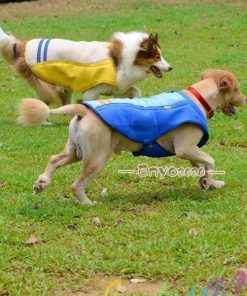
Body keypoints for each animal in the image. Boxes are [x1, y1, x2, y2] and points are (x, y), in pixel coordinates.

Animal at [0, 25, 172, 106]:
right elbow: (87, 101)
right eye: (157, 57)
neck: (122, 59)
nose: (171, 68)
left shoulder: (118, 87)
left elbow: (136, 91)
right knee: (45, 99)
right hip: (50, 84)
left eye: (161, 55)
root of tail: (24, 45)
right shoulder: (92, 90)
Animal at [18, 69, 246, 206]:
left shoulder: (191, 152)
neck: (198, 98)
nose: (245, 99)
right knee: (77, 184)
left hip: (75, 151)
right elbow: (210, 160)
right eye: (236, 88)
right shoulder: (185, 148)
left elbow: (201, 165)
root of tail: (83, 109)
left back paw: (42, 183)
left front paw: (211, 183)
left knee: (55, 159)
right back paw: (88, 203)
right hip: (97, 157)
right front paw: (207, 180)